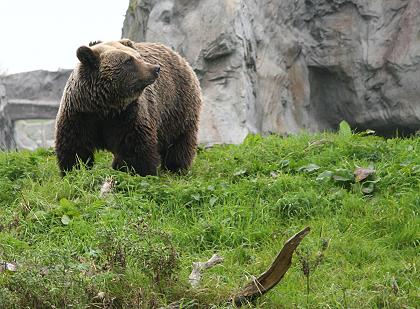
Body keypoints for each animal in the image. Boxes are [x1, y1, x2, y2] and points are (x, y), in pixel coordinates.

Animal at [55, 39, 203, 176]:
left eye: (138, 56)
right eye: (128, 60)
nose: (155, 68)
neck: (105, 106)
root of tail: (178, 56)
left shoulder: (128, 114)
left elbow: (134, 147)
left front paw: (136, 171)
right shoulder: (80, 115)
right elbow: (75, 147)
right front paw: (75, 170)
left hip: (177, 104)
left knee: (179, 140)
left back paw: (175, 168)